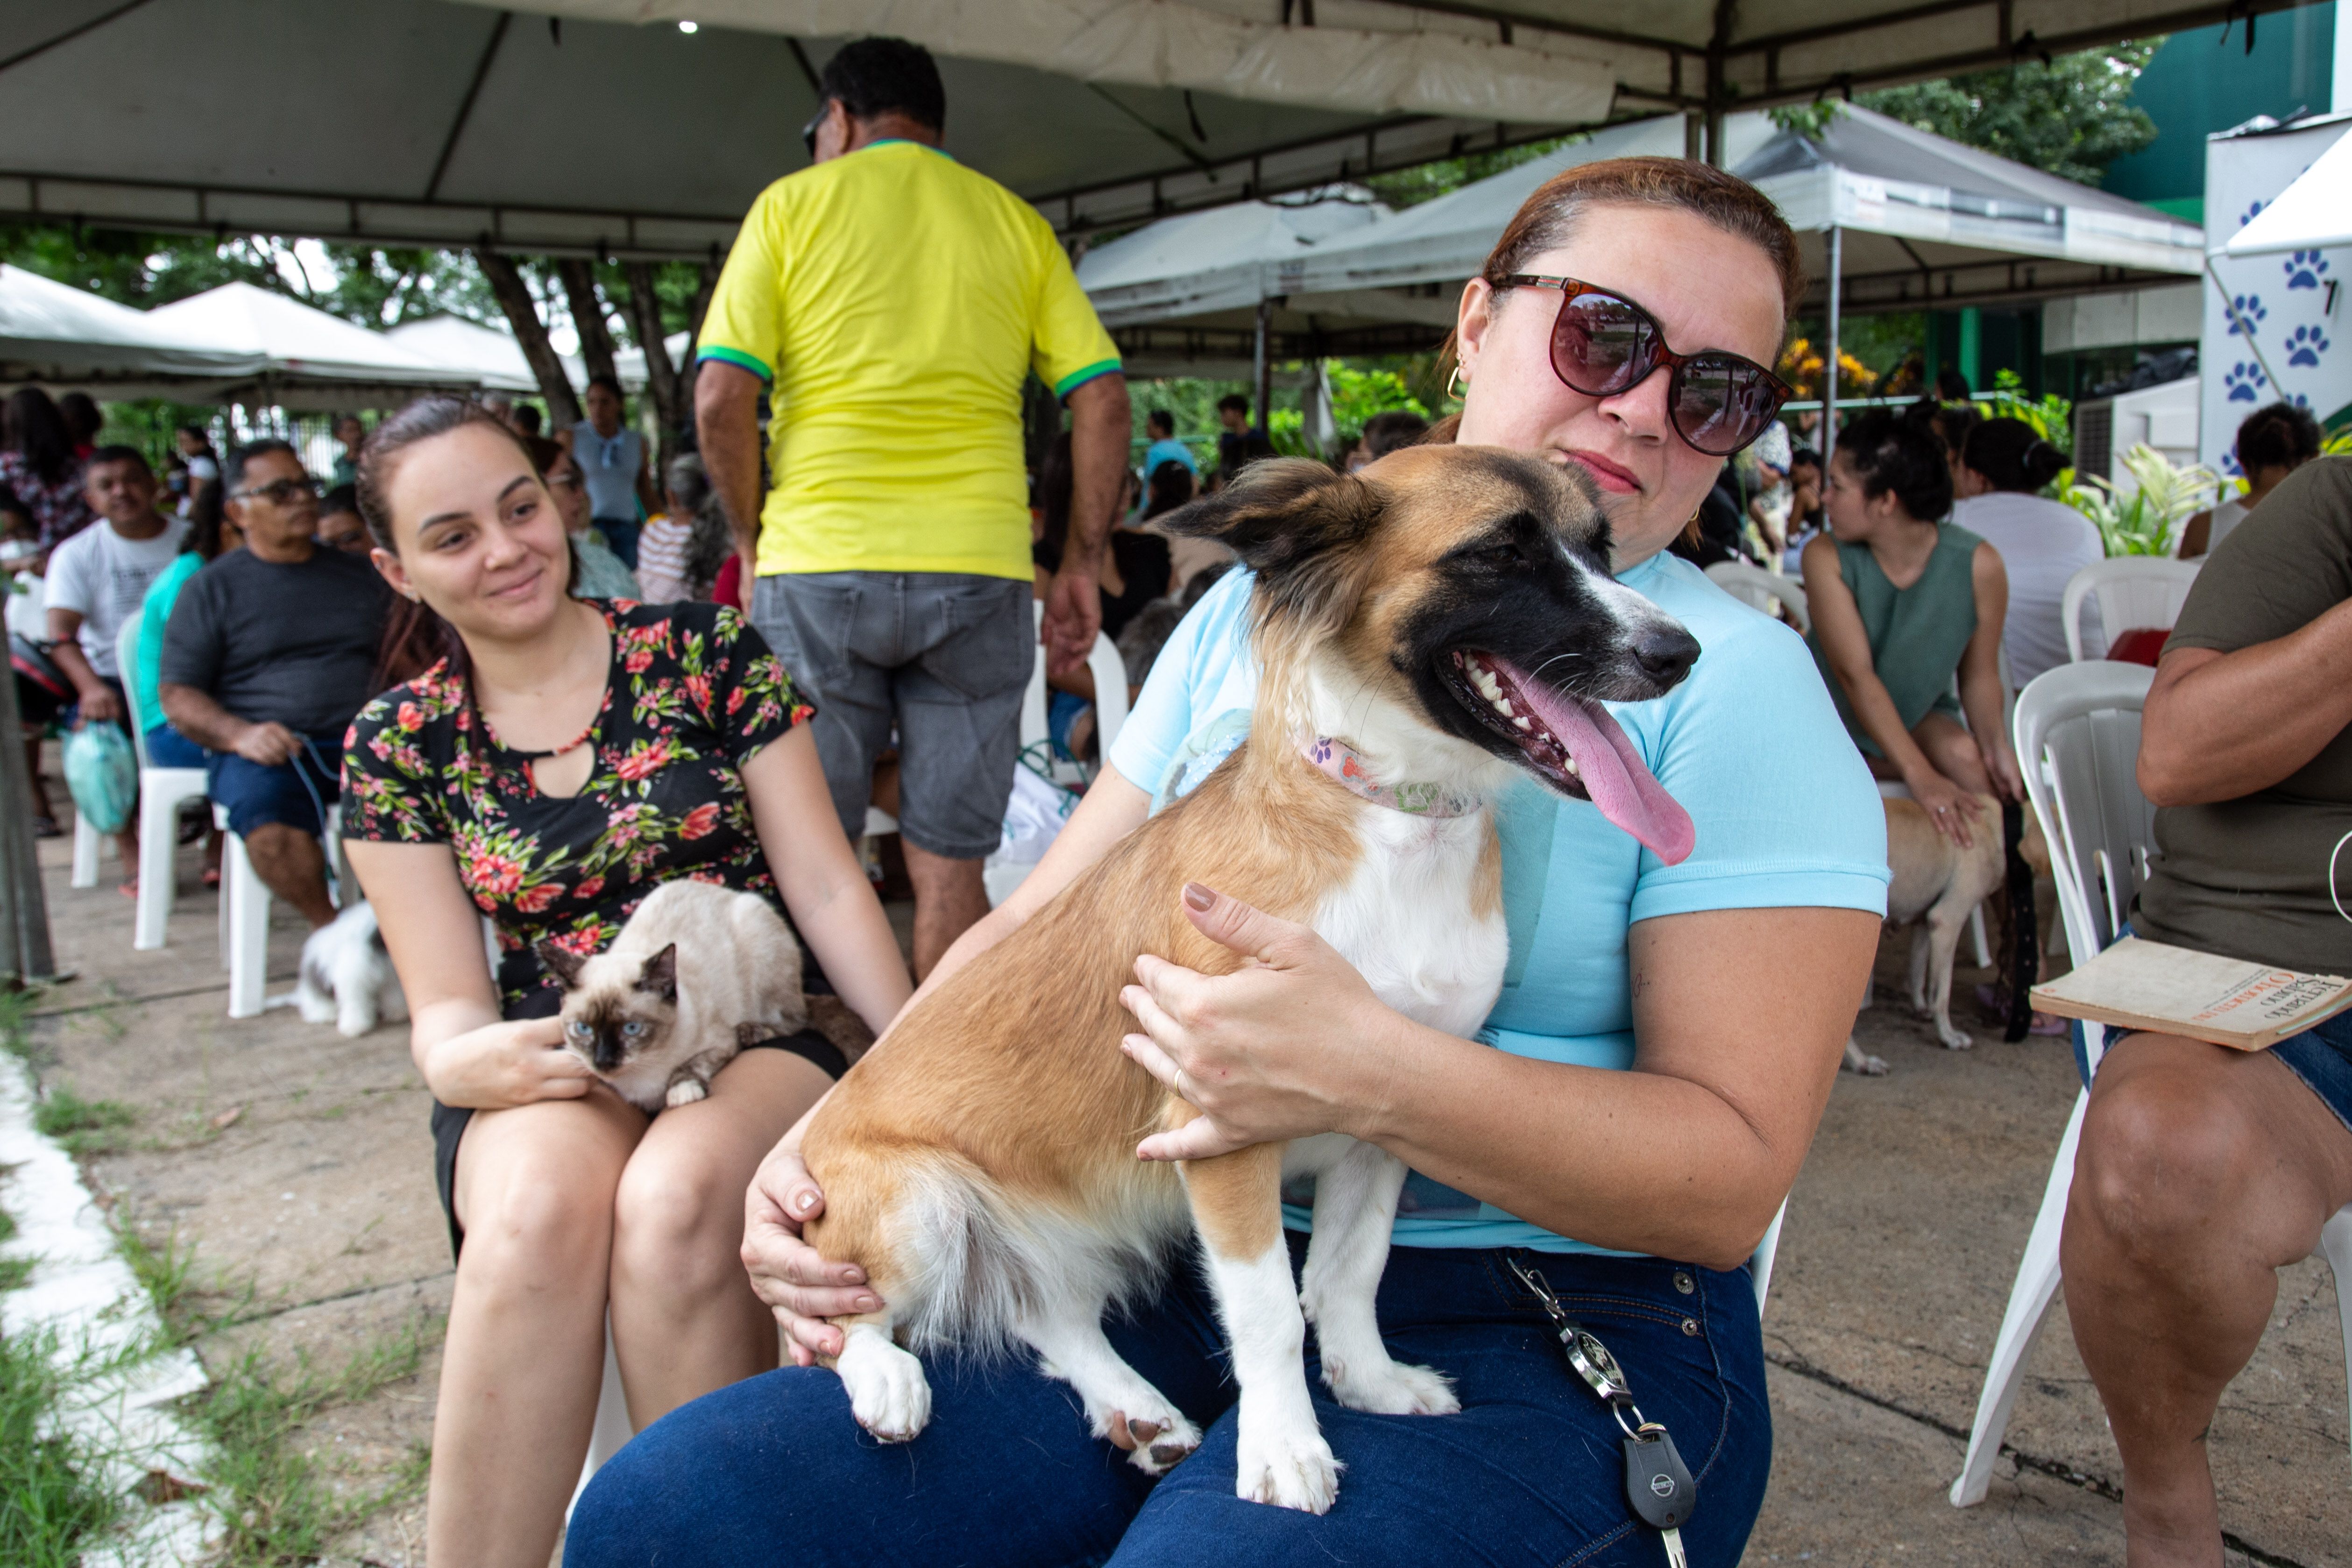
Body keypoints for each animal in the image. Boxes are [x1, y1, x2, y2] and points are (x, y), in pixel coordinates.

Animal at [538, 884, 814, 1114]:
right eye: (583, 1029)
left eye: (632, 1028)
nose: (603, 1062)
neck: (642, 1072)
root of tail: (725, 891)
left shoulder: (722, 1043)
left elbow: (691, 1065)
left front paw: (682, 1092)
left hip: (762, 968)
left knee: (796, 1020)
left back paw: (754, 1031)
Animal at [800, 447, 1703, 1514]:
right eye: (1496, 554)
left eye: (1602, 549)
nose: (1679, 651)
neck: (1394, 821)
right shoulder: (1223, 1134)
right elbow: (1271, 1307)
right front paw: (1283, 1445)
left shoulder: (1391, 1112)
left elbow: (1350, 1272)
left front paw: (1368, 1379)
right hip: (923, 1209)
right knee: (848, 1319)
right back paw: (887, 1377)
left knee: (1046, 1316)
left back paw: (1135, 1407)